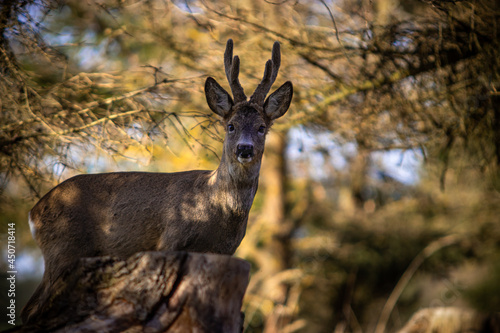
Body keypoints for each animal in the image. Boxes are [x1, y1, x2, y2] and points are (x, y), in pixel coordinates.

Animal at [20, 38, 292, 322]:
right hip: (63, 250)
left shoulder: (224, 253)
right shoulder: (170, 240)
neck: (213, 206)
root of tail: (33, 212)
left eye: (261, 127)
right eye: (231, 126)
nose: (244, 149)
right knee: (31, 309)